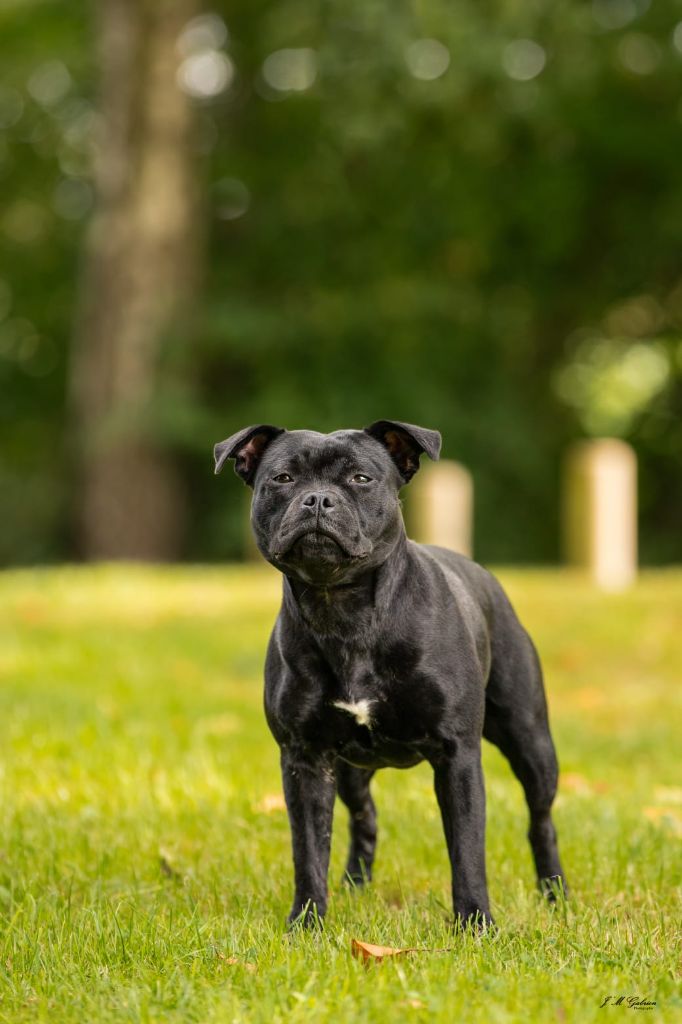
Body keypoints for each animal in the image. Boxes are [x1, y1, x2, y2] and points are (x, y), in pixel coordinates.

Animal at [215, 419, 565, 933]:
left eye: (361, 478)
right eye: (282, 478)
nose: (317, 499)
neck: (343, 609)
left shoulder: (457, 755)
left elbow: (466, 849)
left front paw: (475, 924)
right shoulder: (305, 759)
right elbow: (309, 849)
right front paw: (307, 922)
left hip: (531, 742)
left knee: (540, 819)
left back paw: (555, 892)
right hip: (349, 769)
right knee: (365, 816)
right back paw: (355, 886)